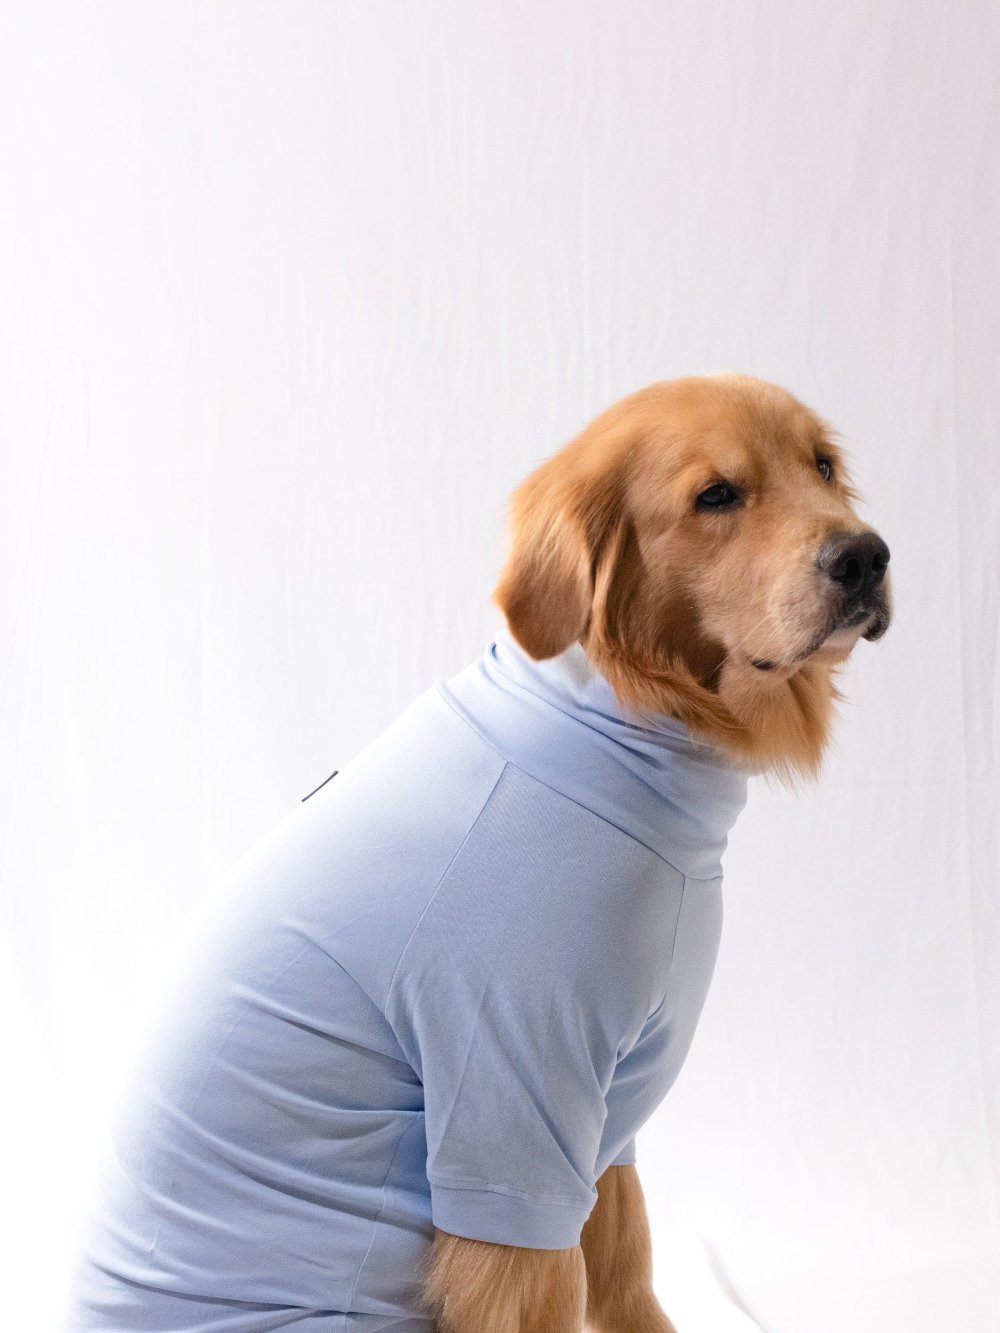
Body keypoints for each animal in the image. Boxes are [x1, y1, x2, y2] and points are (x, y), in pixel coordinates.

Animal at [62, 375, 890, 1333]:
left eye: (823, 466)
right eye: (716, 495)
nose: (867, 557)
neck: (621, 721)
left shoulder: (601, 1122)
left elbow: (628, 1275)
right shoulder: (512, 1106)